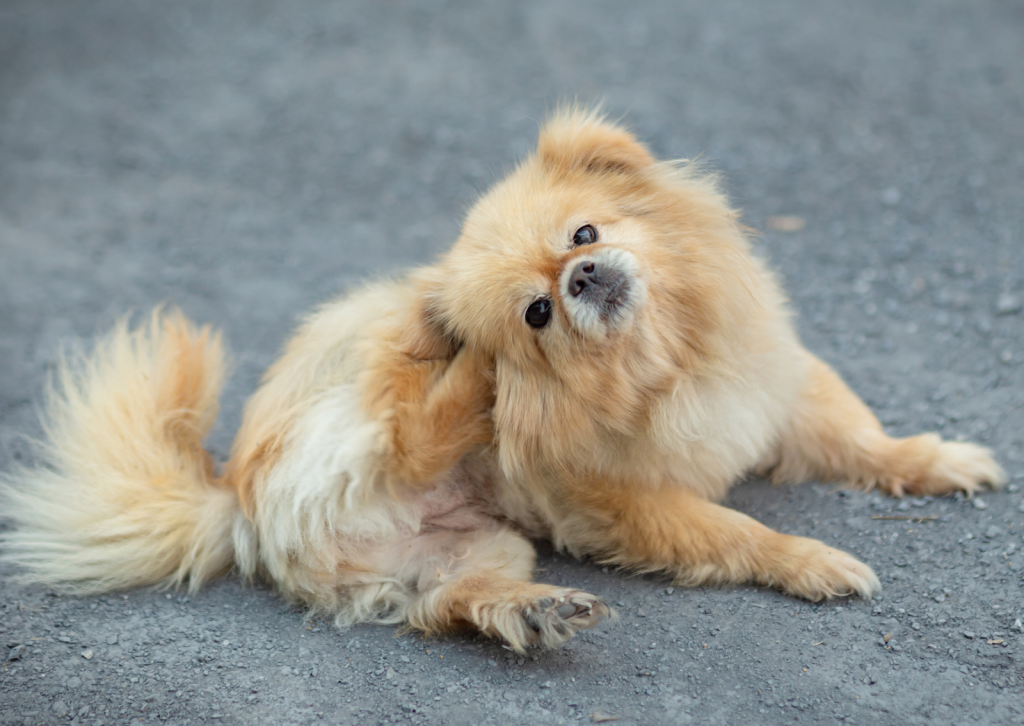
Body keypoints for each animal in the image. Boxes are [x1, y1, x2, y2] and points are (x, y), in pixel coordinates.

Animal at [0, 107, 1003, 651]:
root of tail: (235, 501)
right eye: (537, 316)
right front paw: (816, 563)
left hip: (478, 548)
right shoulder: (628, 503)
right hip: (358, 400)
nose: (583, 278)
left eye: (585, 234)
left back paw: (534, 613)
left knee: (449, 603)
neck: (662, 366)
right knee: (407, 429)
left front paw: (937, 460)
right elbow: (738, 531)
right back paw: (472, 380)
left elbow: (865, 438)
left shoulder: (781, 391)